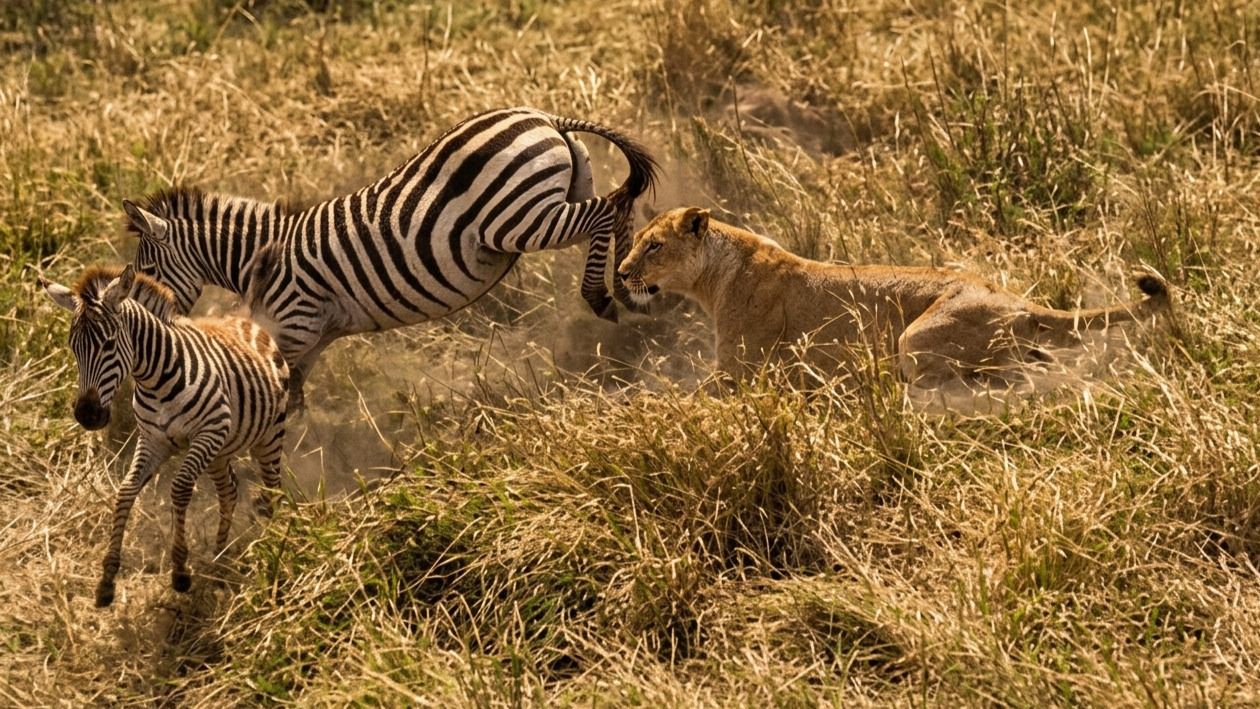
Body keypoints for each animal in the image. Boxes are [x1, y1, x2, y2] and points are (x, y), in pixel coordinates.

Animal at [41, 264, 288, 607]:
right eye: (73, 348)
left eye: (109, 344)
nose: (87, 416)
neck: (155, 380)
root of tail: (244, 319)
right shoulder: (152, 440)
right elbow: (126, 491)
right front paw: (107, 580)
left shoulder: (207, 432)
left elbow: (180, 488)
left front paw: (181, 571)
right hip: (221, 449)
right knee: (229, 490)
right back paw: (220, 560)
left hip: (267, 436)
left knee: (272, 490)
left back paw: (270, 549)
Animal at [121, 107, 659, 409]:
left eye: (146, 273)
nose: (143, 333)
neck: (259, 259)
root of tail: (545, 119)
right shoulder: (310, 341)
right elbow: (290, 402)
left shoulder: (295, 327)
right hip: (559, 193)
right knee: (618, 206)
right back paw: (630, 287)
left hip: (518, 217)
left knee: (605, 212)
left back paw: (604, 296)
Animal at [618, 207, 1170, 392]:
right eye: (638, 241)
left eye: (654, 246)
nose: (621, 274)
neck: (713, 277)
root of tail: (1014, 299)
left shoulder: (739, 371)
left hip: (914, 339)